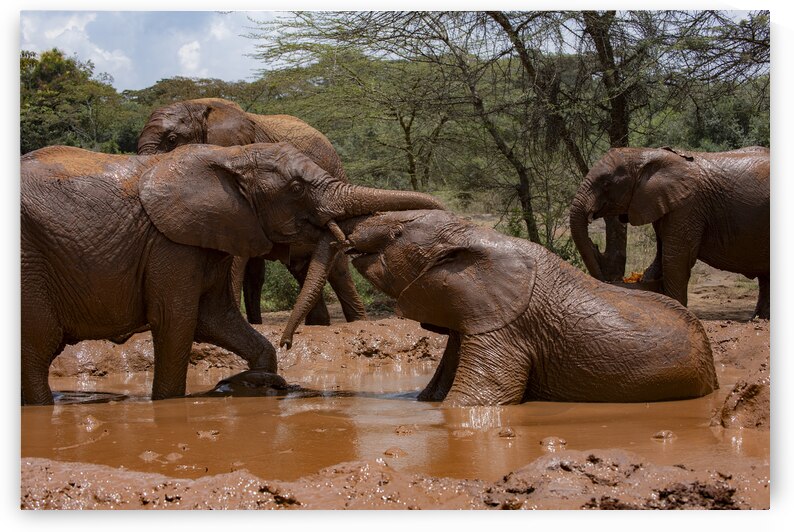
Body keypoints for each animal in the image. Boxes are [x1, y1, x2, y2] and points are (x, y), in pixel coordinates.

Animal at [20, 143, 443, 405]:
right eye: (296, 187)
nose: (289, 341)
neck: (230, 157)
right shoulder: (170, 244)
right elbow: (177, 323)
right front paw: (170, 403)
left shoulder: (215, 235)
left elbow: (217, 318)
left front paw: (257, 381)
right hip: (30, 263)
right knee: (37, 348)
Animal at [137, 97, 363, 326]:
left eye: (172, 140)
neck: (196, 105)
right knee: (299, 268)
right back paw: (317, 324)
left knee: (339, 269)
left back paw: (357, 321)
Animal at [281, 209, 717, 406]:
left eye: (398, 233)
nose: (286, 344)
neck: (473, 235)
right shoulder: (470, 318)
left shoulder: (506, 329)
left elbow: (473, 402)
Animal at [570, 146, 770, 319]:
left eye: (606, 183)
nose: (595, 245)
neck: (646, 154)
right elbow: (659, 259)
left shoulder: (686, 207)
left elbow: (674, 258)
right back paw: (760, 318)